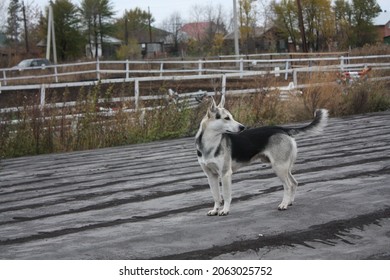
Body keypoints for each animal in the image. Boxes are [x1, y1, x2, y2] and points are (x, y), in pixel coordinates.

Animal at [197, 95, 328, 215]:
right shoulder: (211, 176)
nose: (243, 127)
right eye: (226, 118)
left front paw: (225, 210)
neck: (210, 144)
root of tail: (282, 129)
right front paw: (215, 210)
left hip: (279, 168)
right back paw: (289, 202)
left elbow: (226, 195)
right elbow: (216, 196)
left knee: (288, 185)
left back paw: (284, 204)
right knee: (294, 183)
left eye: (231, 117)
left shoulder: (225, 174)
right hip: (285, 167)